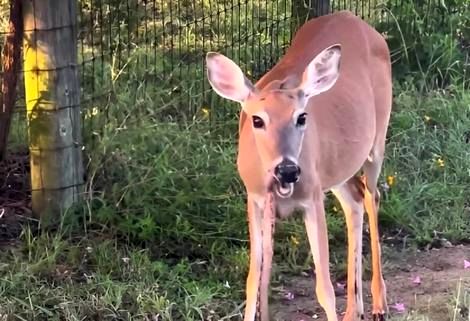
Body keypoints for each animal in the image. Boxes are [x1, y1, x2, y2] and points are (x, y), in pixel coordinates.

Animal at [206, 10, 392, 320]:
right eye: (257, 119)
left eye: (301, 117)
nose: (288, 170)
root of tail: (355, 18)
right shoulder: (255, 199)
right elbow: (253, 281)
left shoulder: (312, 198)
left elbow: (324, 287)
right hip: (337, 167)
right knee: (354, 202)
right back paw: (354, 310)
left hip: (376, 140)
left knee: (371, 196)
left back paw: (379, 304)